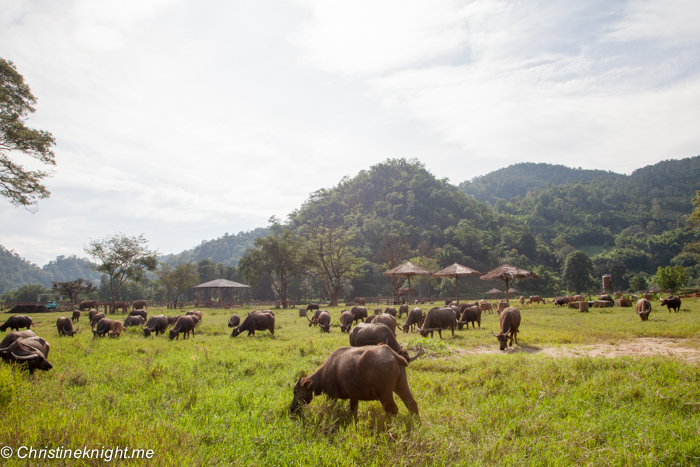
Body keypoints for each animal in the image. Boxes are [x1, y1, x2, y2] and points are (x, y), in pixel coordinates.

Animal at [288, 344, 418, 420]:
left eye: (295, 392)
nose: (292, 408)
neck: (325, 372)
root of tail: (392, 354)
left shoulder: (332, 397)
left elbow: (329, 411)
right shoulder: (353, 397)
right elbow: (353, 412)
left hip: (384, 394)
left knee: (392, 410)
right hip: (401, 385)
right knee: (412, 404)